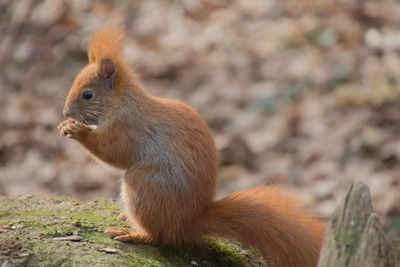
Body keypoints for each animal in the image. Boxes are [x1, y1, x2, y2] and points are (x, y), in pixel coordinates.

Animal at [57, 25, 326, 267]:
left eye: (88, 94)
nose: (66, 112)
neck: (121, 102)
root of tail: (191, 221)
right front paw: (66, 125)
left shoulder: (128, 128)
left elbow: (113, 152)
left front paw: (78, 131)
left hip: (143, 185)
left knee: (158, 237)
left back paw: (132, 233)